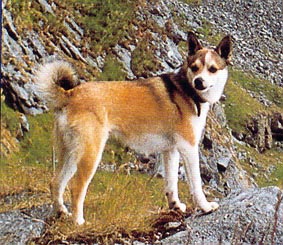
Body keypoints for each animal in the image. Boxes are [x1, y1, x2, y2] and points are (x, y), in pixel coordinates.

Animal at [35, 31, 233, 225]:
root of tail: (70, 94)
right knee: (76, 187)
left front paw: (175, 206)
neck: (187, 90)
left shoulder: (170, 150)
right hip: (90, 155)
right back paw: (79, 223)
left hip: (70, 153)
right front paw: (205, 207)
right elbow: (196, 184)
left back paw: (61, 212)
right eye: (195, 67)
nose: (199, 81)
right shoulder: (189, 148)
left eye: (212, 69)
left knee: (56, 182)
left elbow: (171, 184)